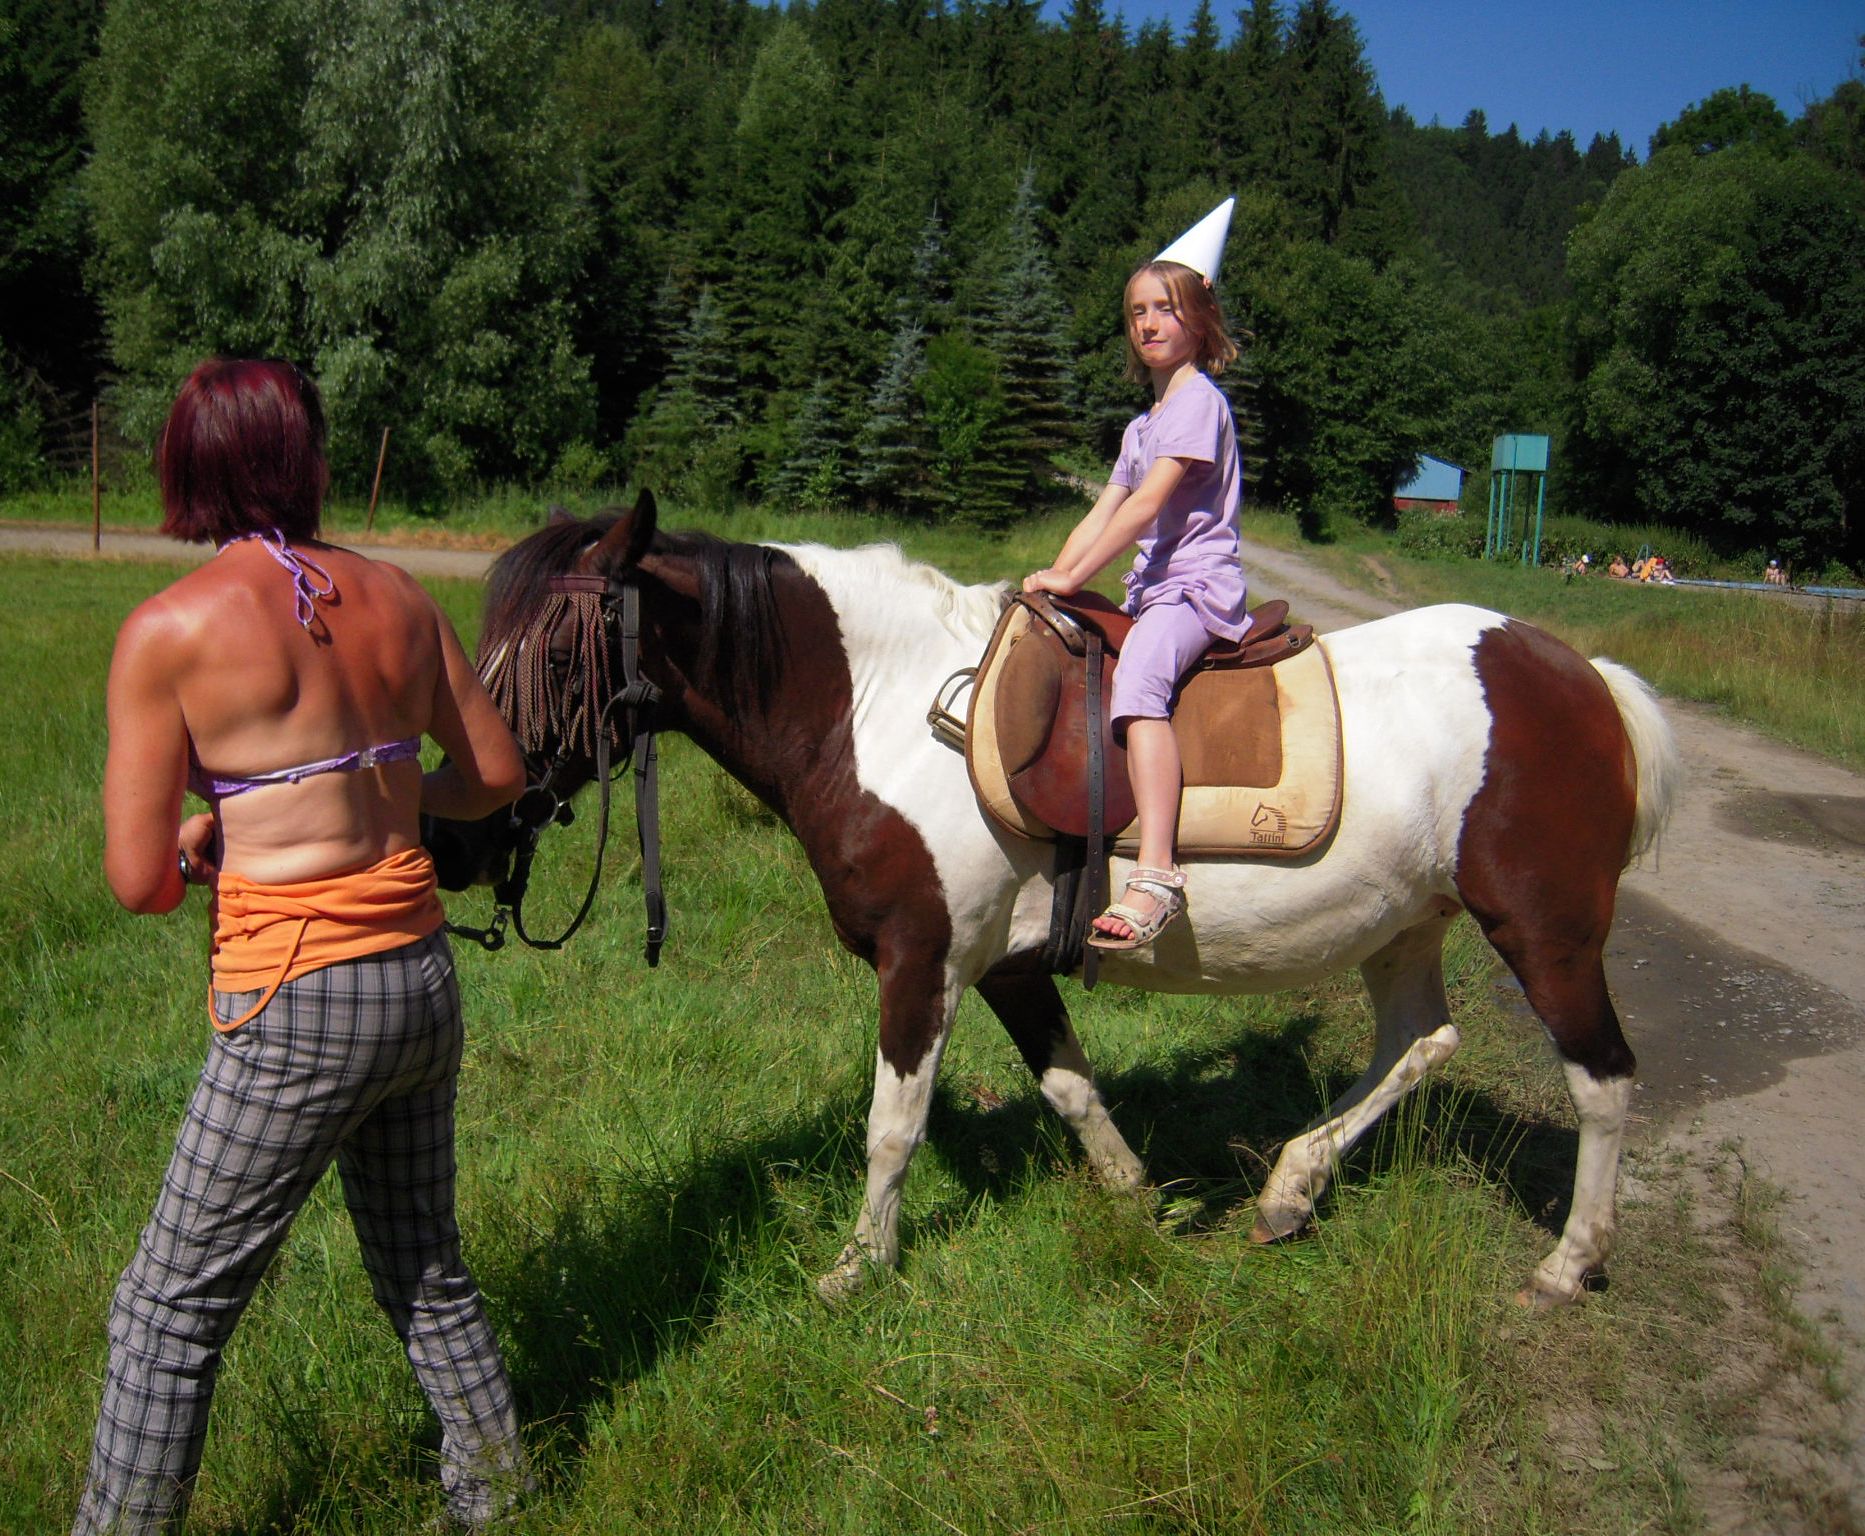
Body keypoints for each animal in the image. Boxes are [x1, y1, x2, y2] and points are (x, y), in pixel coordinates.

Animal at [425, 492, 1683, 1307]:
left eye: (554, 652)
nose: (450, 833)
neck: (873, 708)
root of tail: (1578, 676)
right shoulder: (1012, 967)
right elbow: (1072, 1090)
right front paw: (1140, 1206)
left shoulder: (922, 959)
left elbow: (893, 1124)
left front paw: (855, 1271)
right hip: (1404, 927)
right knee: (1421, 1041)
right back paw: (1290, 1188)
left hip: (1545, 932)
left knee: (1604, 1079)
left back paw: (1568, 1261)